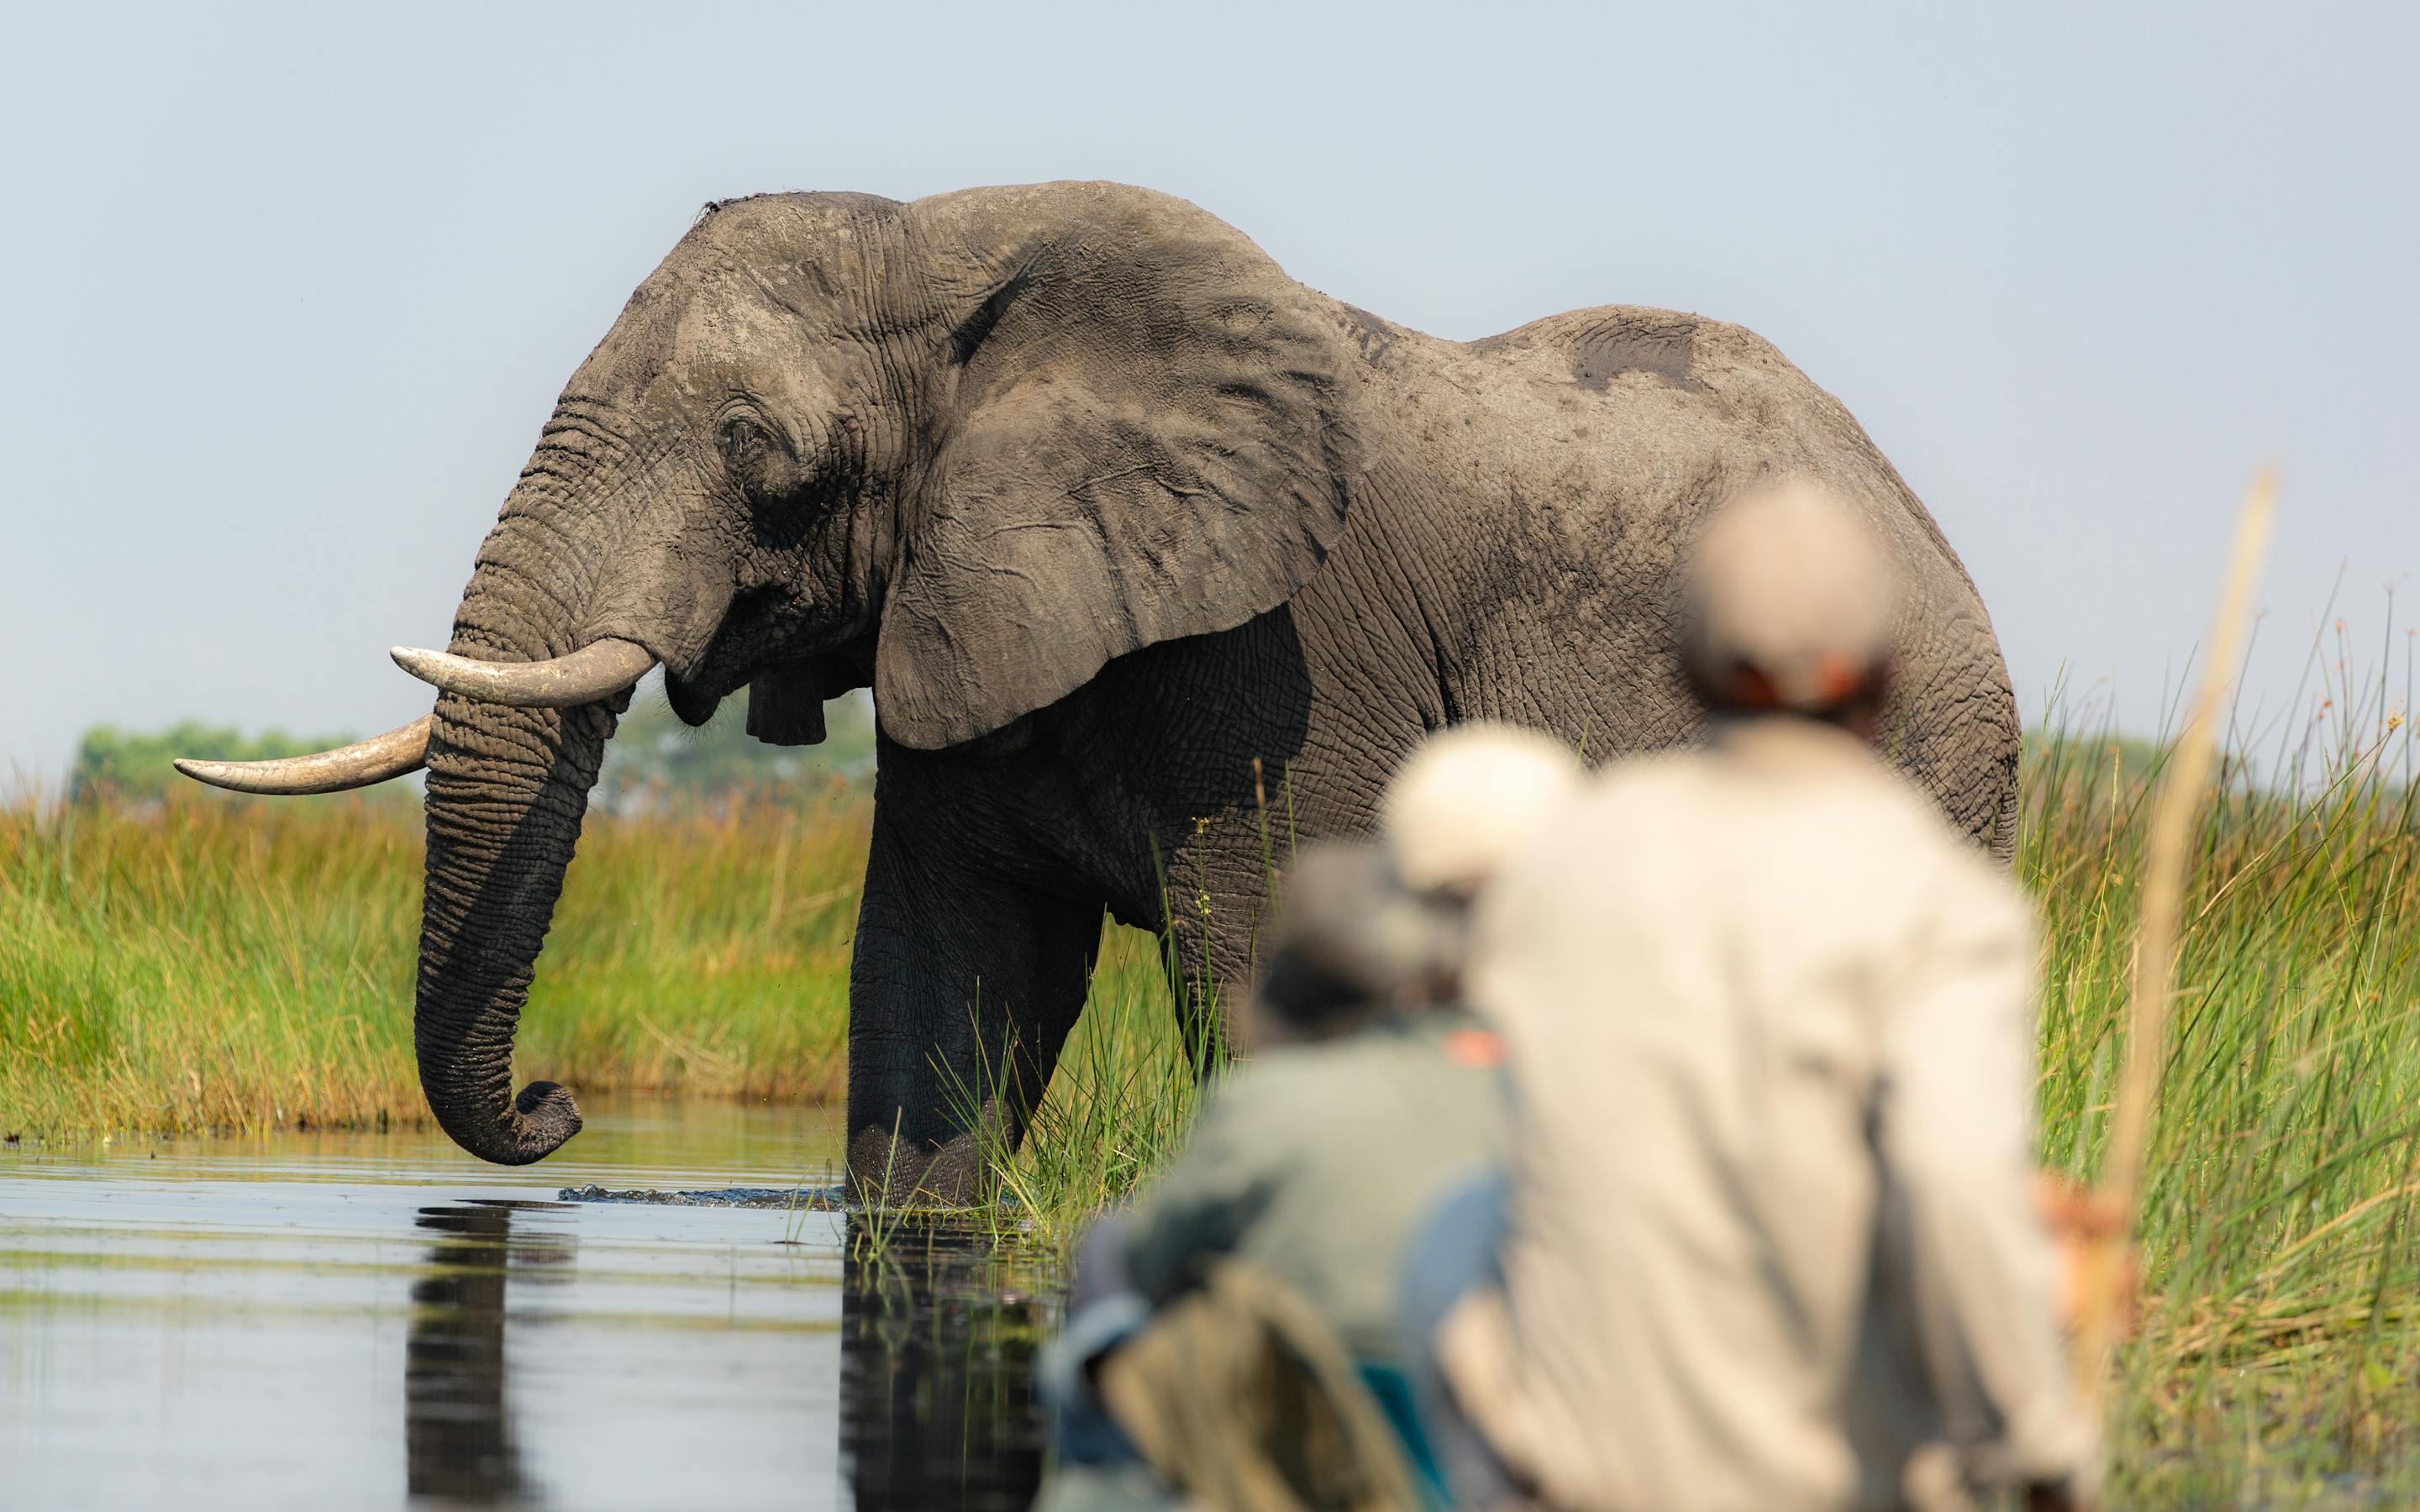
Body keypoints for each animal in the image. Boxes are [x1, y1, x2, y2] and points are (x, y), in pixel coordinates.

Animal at [180, 181, 2020, 1201]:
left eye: (761, 449)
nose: (562, 1106)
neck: (973, 267)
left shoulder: (1276, 656)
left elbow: (1258, 953)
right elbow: (939, 981)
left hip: (1925, 750)